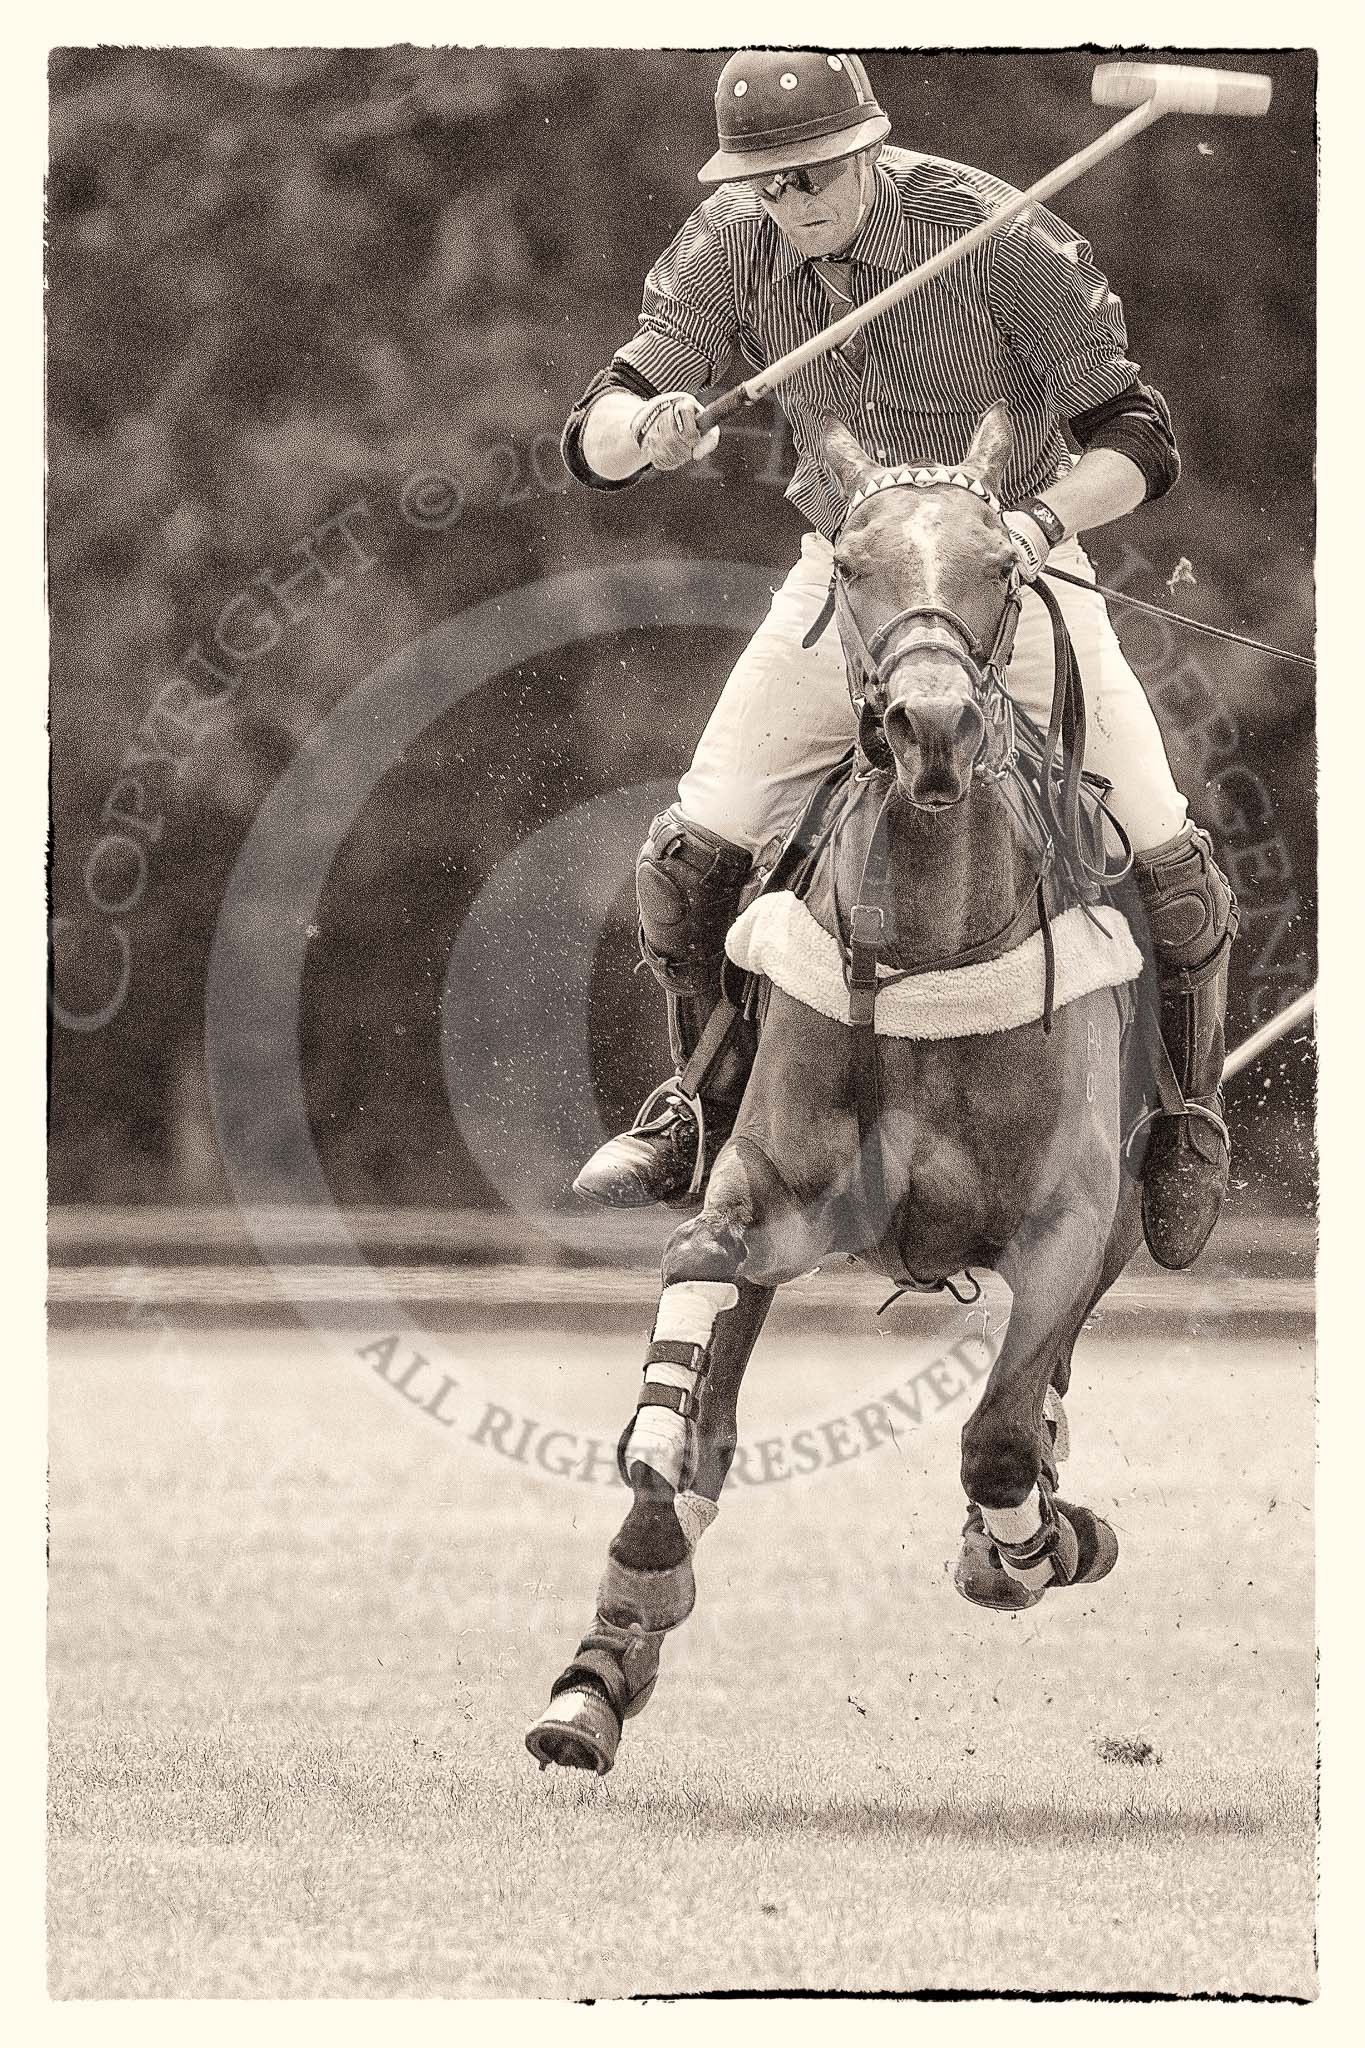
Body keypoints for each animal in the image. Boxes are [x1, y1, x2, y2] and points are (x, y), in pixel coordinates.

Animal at [527, 403, 1162, 1777]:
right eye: (856, 565)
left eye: (1002, 565)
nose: (930, 727)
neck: (927, 934)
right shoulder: (768, 1193)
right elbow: (681, 1391)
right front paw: (643, 1562)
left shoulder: (1069, 1220)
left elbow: (996, 1429)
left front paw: (1030, 1546)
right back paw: (595, 1680)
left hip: (1132, 1211)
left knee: (1040, 1381)